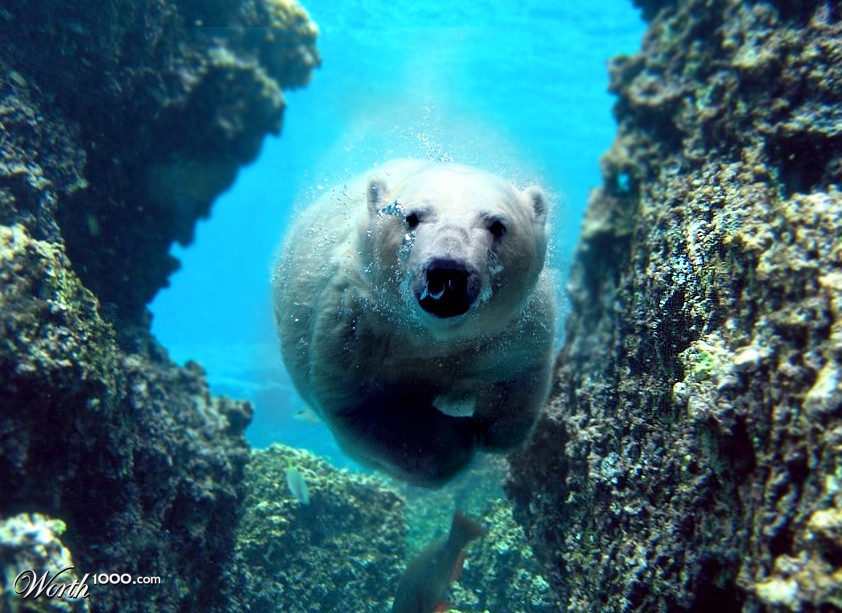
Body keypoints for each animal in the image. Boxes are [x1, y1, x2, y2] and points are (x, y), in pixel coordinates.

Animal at [272, 159, 556, 486]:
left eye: (497, 224)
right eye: (411, 217)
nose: (447, 271)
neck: (434, 336)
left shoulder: (515, 328)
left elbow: (517, 380)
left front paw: (486, 428)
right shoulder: (354, 331)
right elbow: (366, 409)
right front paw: (458, 441)